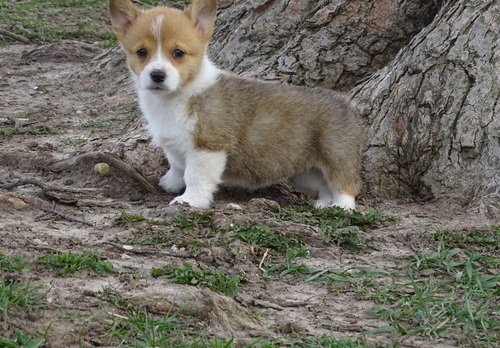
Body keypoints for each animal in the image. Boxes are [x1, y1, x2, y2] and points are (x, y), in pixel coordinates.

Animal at [109, 0, 364, 209]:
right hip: (307, 170)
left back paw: (340, 207)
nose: (157, 75)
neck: (177, 96)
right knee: (323, 185)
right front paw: (169, 183)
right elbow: (177, 165)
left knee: (345, 184)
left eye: (178, 53)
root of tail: (346, 102)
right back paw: (323, 203)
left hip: (335, 155)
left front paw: (190, 200)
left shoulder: (208, 147)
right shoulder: (176, 144)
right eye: (142, 52)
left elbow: (194, 176)